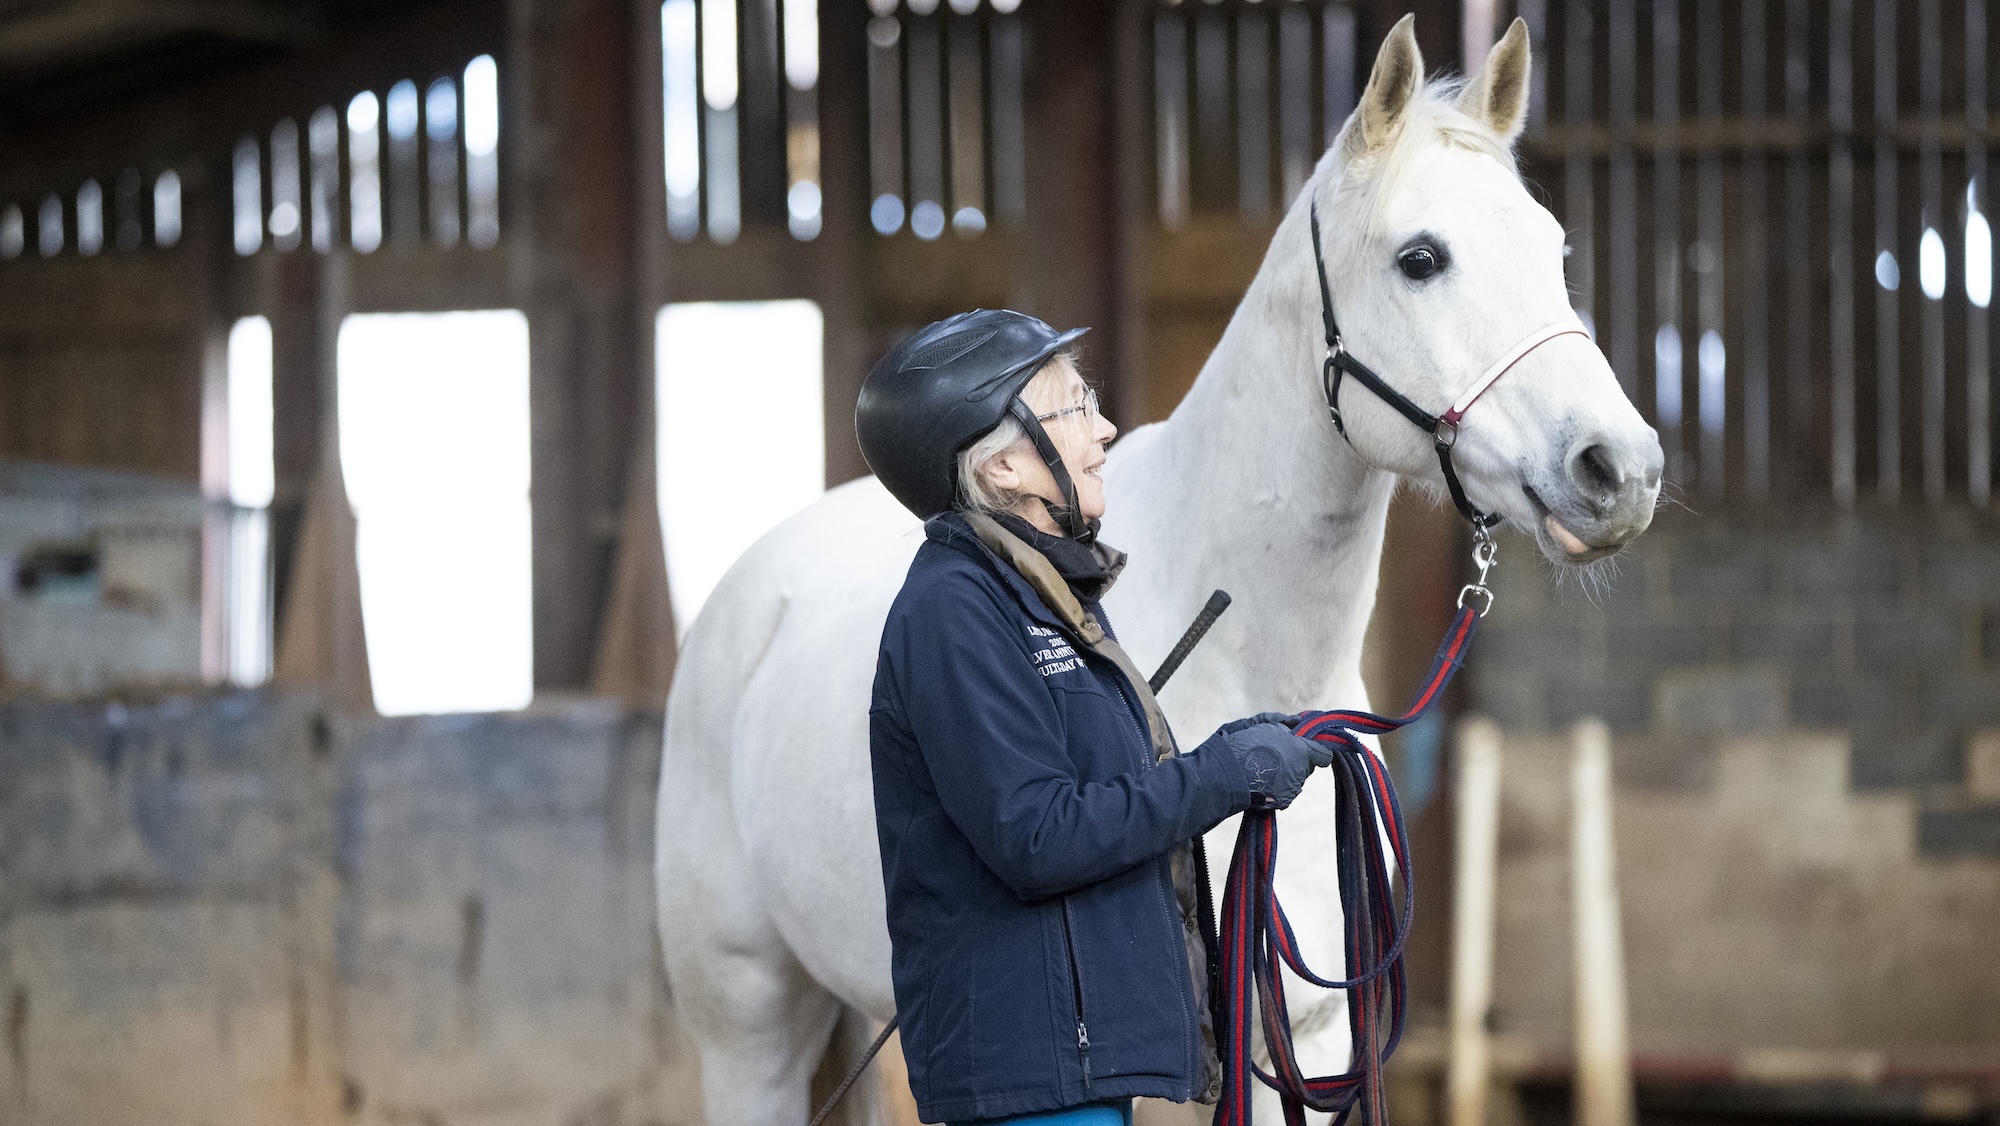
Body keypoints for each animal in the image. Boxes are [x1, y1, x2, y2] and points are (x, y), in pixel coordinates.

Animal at [655, 17, 1663, 1126]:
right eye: (1420, 257)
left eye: (1553, 247)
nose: (1620, 469)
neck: (1245, 648)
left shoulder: (1310, 1046)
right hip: (748, 1032)